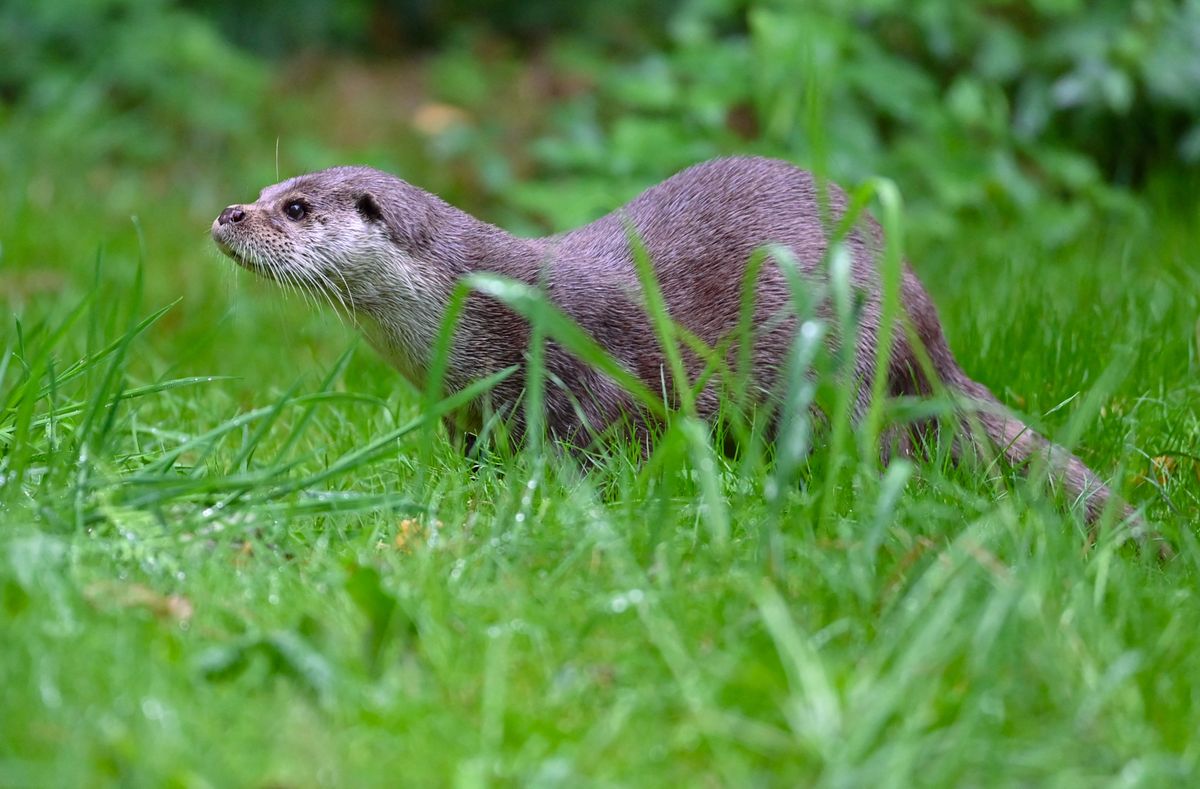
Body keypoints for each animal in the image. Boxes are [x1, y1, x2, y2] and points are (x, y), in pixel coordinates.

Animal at [212, 156, 1150, 542]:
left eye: (295, 207)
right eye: (263, 188)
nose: (230, 212)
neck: (481, 314)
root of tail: (930, 337)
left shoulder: (598, 365)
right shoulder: (468, 408)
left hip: (850, 359)